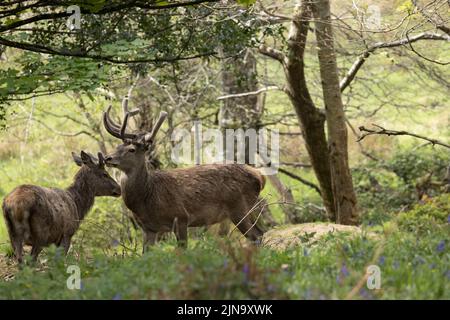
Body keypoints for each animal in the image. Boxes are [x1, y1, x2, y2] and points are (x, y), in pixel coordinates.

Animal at [103, 106, 266, 249]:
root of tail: (259, 175)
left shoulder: (181, 217)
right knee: (260, 233)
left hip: (239, 207)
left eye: (132, 149)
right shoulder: (149, 228)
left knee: (256, 236)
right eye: (118, 146)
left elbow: (182, 250)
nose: (107, 158)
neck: (148, 196)